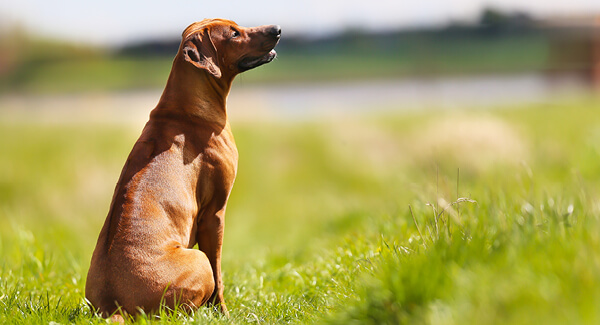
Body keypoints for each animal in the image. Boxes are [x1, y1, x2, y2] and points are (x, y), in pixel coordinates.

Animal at [85, 18, 282, 318]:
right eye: (234, 33)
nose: (277, 29)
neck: (185, 109)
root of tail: (114, 304)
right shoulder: (215, 214)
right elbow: (219, 273)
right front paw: (224, 313)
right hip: (197, 260)